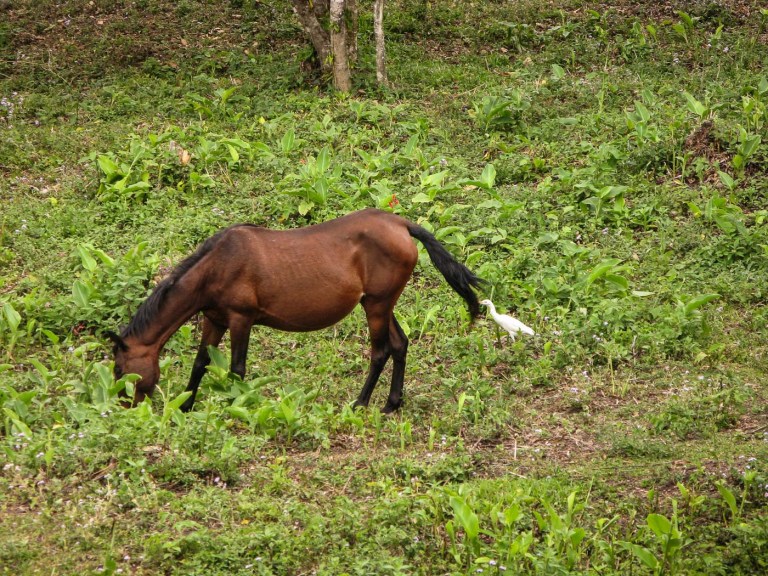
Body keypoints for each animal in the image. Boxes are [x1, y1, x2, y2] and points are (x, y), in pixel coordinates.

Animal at [107, 208, 484, 413]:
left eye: (121, 370)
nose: (129, 409)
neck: (218, 265)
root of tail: (402, 225)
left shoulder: (241, 320)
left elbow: (237, 369)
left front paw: (234, 406)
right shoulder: (214, 320)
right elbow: (200, 363)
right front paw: (186, 406)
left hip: (376, 306)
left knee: (381, 351)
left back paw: (360, 404)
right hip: (379, 303)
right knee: (400, 344)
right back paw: (392, 403)